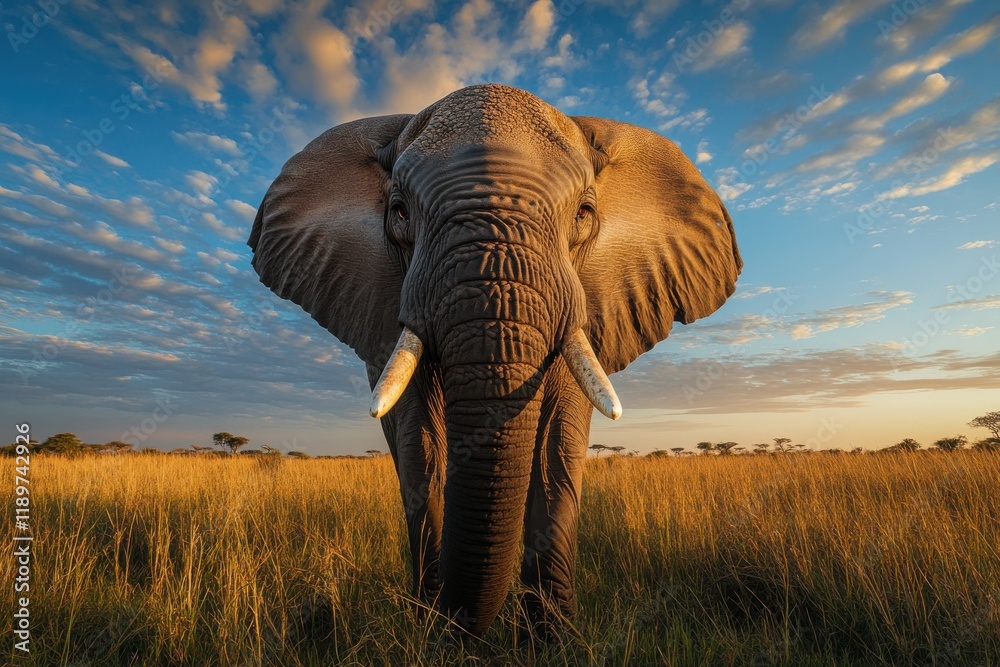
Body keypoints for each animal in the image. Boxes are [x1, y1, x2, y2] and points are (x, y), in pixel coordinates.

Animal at [248, 83, 742, 639]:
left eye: (583, 214)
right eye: (399, 212)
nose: (460, 625)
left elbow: (557, 446)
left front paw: (552, 639)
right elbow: (421, 447)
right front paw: (435, 633)